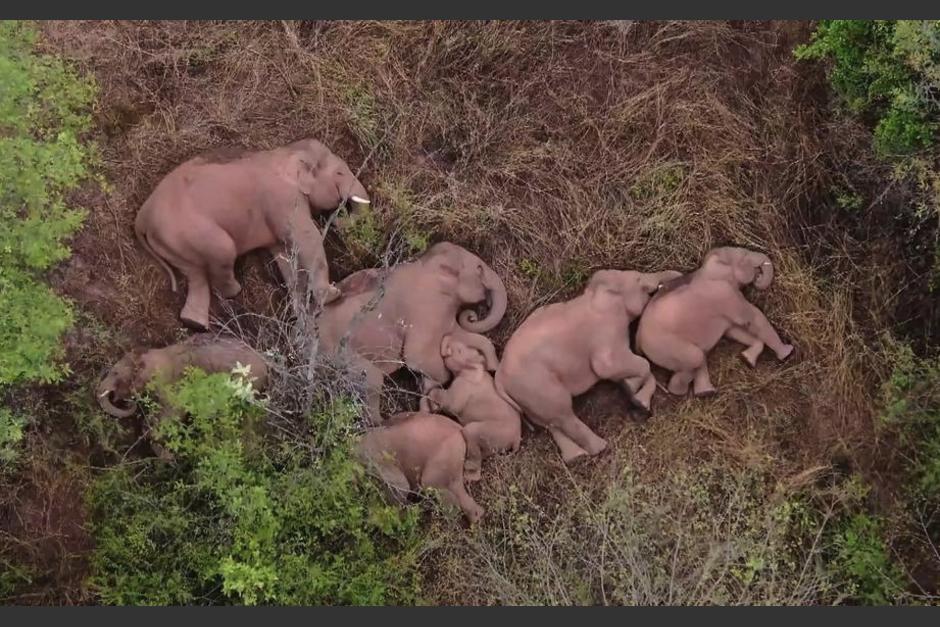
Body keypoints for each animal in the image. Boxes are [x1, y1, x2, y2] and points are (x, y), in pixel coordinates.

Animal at [135, 138, 370, 330]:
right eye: (339, 173)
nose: (337, 218)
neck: (285, 152)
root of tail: (142, 216)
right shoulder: (284, 199)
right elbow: (306, 238)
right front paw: (332, 295)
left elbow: (284, 255)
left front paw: (301, 314)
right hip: (189, 231)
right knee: (222, 252)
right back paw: (234, 291)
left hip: (172, 243)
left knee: (195, 275)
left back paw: (194, 324)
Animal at [318, 241, 507, 424]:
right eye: (479, 269)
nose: (473, 315)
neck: (425, 263)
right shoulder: (425, 308)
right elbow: (417, 357)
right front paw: (431, 394)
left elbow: (459, 335)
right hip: (338, 353)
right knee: (372, 379)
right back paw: (387, 421)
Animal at [426, 335, 522, 480]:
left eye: (459, 350)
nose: (446, 337)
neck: (474, 368)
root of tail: (517, 438)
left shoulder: (463, 385)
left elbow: (452, 405)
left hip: (493, 431)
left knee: (470, 432)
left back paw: (469, 473)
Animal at [495, 269, 682, 464]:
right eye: (638, 278)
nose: (678, 276)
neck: (595, 294)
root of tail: (499, 377)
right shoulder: (606, 331)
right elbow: (610, 366)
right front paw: (632, 390)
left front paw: (634, 394)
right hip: (537, 385)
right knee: (563, 414)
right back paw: (600, 447)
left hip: (527, 397)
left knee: (550, 422)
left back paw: (576, 456)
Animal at [635, 246, 795, 397]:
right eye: (744, 255)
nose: (758, 277)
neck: (707, 268)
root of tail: (638, 340)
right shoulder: (726, 293)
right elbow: (753, 318)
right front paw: (787, 352)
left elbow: (734, 330)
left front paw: (747, 359)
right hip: (664, 346)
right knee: (696, 357)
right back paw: (681, 392)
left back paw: (705, 392)